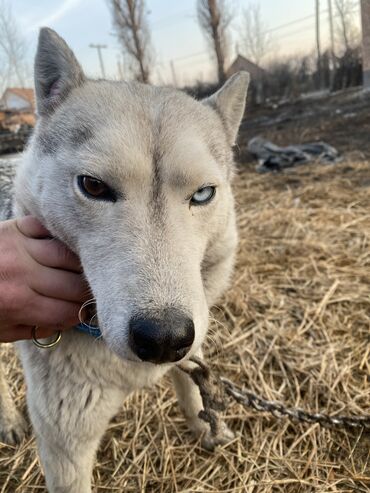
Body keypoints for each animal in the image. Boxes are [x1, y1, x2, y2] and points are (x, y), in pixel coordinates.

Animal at [0, 29, 250, 492]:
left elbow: (190, 383)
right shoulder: (65, 446)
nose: (165, 338)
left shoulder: (192, 340)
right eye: (94, 186)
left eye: (203, 194)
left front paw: (204, 426)